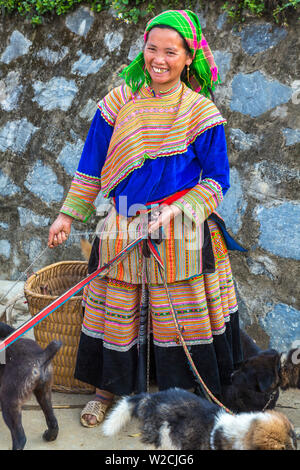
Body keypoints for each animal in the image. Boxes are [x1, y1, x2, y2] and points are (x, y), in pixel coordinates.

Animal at [0, 322, 61, 450]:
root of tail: (41, 356)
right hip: (44, 394)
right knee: (53, 421)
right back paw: (49, 436)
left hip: (9, 403)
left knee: (20, 438)